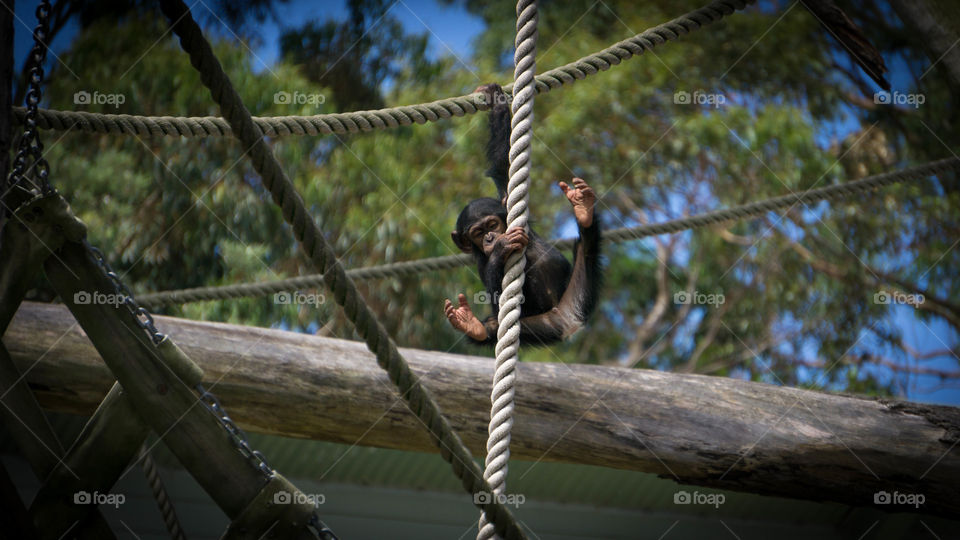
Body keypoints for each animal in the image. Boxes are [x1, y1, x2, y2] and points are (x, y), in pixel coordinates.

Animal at [443, 83, 601, 346]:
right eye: (478, 233)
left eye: (492, 225)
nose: (490, 238)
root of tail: (567, 322)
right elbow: (496, 301)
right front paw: (500, 249)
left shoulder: (507, 198)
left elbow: (504, 165)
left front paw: (495, 101)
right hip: (544, 327)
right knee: (497, 325)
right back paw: (474, 327)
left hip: (577, 295)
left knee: (587, 247)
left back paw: (584, 210)